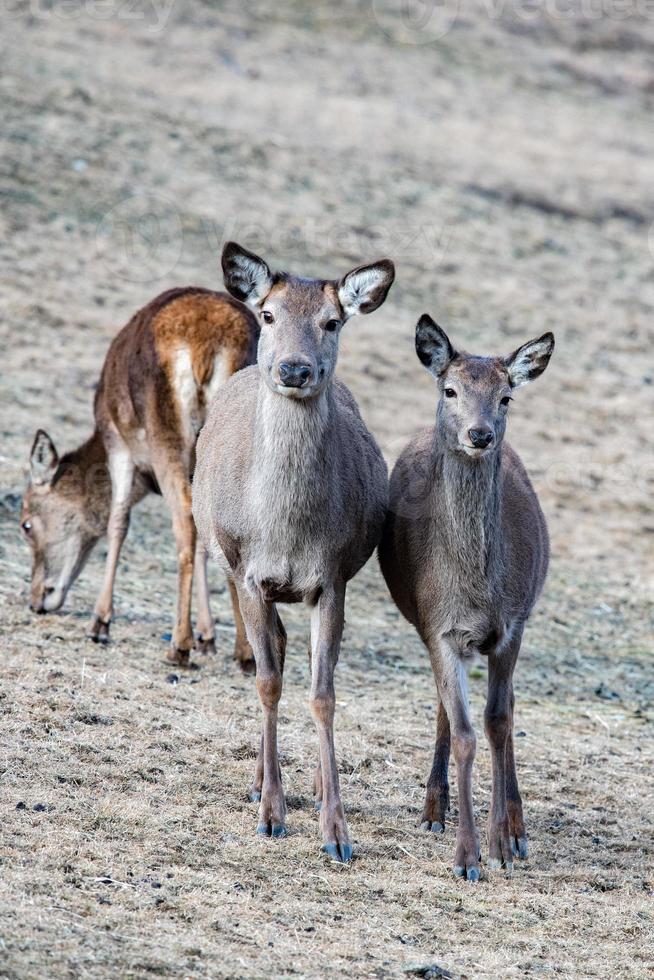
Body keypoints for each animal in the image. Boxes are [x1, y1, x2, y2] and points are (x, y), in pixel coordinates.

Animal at [18, 284, 258, 668]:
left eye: (26, 525)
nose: (37, 599)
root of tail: (209, 347)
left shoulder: (119, 444)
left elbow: (117, 523)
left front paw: (100, 622)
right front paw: (208, 638)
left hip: (165, 434)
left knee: (183, 521)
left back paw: (179, 645)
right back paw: (245, 652)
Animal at [192, 241, 398, 860]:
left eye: (333, 321)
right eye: (267, 315)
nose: (294, 369)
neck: (286, 532)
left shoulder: (331, 579)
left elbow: (323, 693)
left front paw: (337, 832)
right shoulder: (249, 573)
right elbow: (266, 681)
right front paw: (270, 814)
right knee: (272, 659)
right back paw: (262, 780)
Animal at [376, 318, 556, 884]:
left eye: (506, 396)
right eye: (450, 390)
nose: (480, 434)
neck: (477, 590)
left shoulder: (512, 624)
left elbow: (499, 722)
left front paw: (503, 844)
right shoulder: (439, 627)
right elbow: (465, 733)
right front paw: (467, 857)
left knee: (509, 709)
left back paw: (516, 827)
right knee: (445, 707)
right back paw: (434, 809)